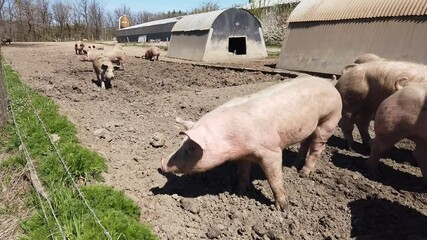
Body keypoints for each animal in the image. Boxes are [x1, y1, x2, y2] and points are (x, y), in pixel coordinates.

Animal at [160, 77, 344, 212]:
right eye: (181, 144)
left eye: (191, 148)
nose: (162, 164)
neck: (230, 140)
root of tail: (329, 84)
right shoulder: (243, 155)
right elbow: (242, 172)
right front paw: (239, 192)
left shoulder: (271, 151)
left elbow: (274, 178)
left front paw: (283, 208)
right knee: (306, 142)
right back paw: (294, 166)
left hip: (330, 118)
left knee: (318, 145)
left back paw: (304, 173)